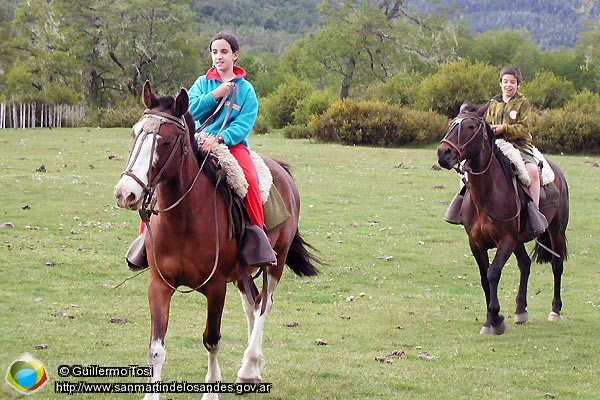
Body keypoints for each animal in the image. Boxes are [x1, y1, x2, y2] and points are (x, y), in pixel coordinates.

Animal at [113, 83, 318, 398]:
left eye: (166, 141)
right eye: (135, 133)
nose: (126, 193)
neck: (183, 221)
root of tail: (282, 171)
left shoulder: (216, 287)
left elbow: (212, 339)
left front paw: (211, 389)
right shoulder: (159, 284)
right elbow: (156, 348)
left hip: (276, 261)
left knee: (264, 304)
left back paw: (249, 368)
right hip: (242, 272)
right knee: (253, 303)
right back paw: (253, 368)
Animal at [436, 102, 568, 334]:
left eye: (471, 126)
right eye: (451, 124)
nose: (444, 152)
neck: (488, 194)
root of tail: (559, 174)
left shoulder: (506, 239)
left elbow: (493, 273)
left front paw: (494, 319)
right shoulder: (476, 243)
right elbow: (484, 277)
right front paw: (493, 318)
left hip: (556, 230)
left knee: (556, 264)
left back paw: (555, 311)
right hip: (519, 240)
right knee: (525, 264)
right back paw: (521, 310)